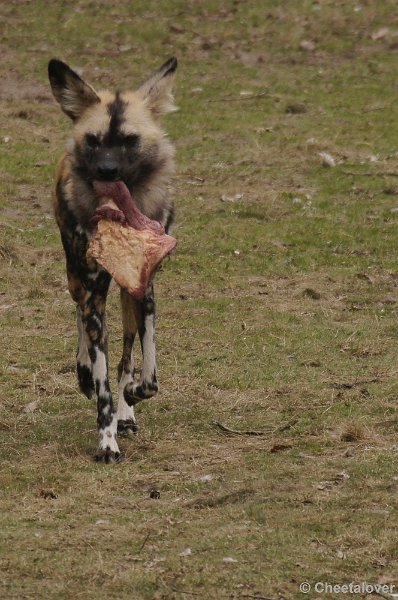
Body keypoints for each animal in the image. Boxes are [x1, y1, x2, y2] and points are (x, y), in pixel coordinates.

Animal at [48, 56, 177, 462]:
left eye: (129, 141)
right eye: (93, 140)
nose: (107, 171)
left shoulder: (144, 290)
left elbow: (147, 377)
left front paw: (130, 399)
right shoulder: (94, 292)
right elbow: (103, 383)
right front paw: (106, 441)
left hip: (126, 295)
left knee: (127, 352)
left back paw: (127, 412)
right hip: (78, 280)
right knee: (79, 315)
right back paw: (84, 373)